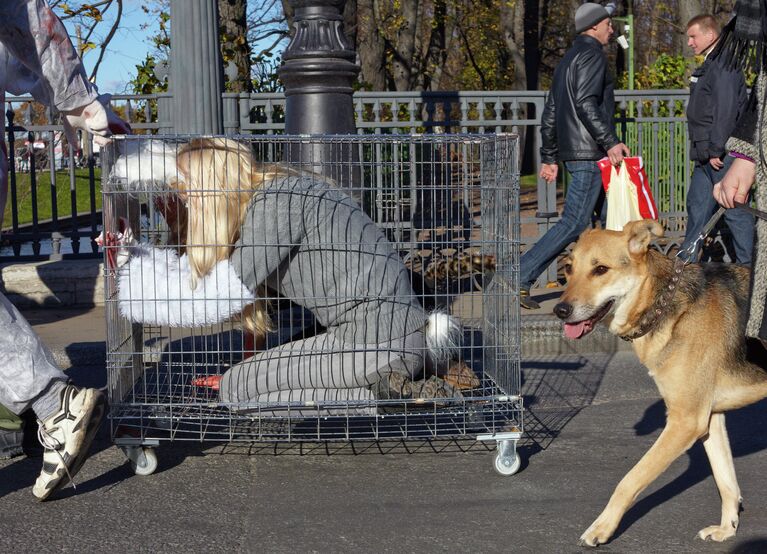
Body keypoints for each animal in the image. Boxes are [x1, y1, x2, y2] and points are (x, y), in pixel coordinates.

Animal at [556, 219, 767, 544]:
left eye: (601, 269)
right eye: (568, 268)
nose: (560, 311)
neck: (664, 305)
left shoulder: (684, 423)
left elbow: (629, 480)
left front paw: (602, 527)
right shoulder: (709, 418)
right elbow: (725, 480)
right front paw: (727, 529)